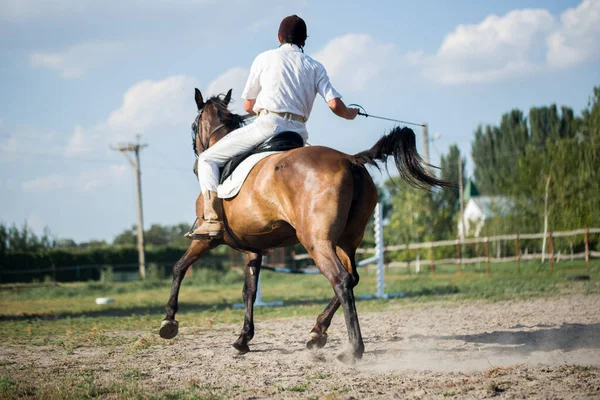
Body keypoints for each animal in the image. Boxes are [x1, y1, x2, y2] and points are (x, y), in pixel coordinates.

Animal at [159, 89, 446, 364]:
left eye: (194, 125)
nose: (195, 159)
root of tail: (350, 160)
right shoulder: (254, 248)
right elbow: (249, 291)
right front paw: (243, 339)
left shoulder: (207, 240)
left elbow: (179, 268)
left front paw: (169, 321)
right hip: (346, 241)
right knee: (352, 277)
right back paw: (317, 332)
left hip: (316, 241)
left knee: (341, 280)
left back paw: (352, 350)